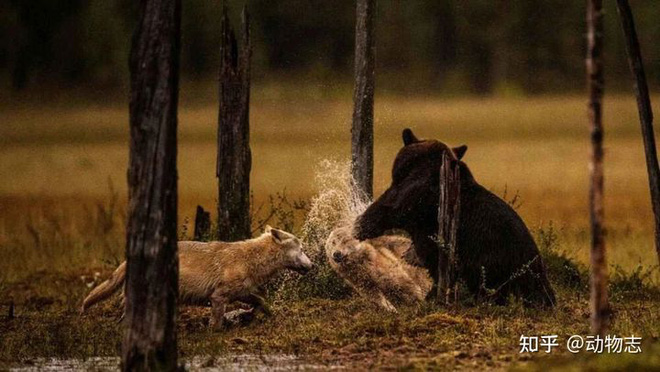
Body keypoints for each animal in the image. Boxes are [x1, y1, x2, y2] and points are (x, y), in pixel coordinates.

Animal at [81, 227, 314, 328]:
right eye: (302, 249)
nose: (313, 265)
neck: (250, 260)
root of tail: (127, 261)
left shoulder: (242, 293)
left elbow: (261, 301)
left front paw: (271, 315)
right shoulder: (218, 297)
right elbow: (216, 323)